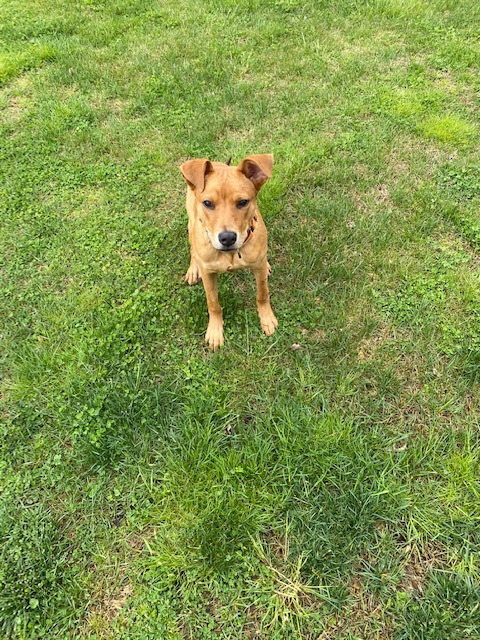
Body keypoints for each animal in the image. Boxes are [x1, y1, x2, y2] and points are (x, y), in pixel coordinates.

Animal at [180, 154, 278, 350]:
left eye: (243, 202)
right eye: (208, 203)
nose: (227, 238)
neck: (231, 254)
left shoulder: (258, 269)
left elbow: (262, 294)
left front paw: (266, 318)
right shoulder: (209, 274)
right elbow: (213, 304)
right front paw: (215, 331)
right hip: (191, 224)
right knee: (193, 248)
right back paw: (193, 269)